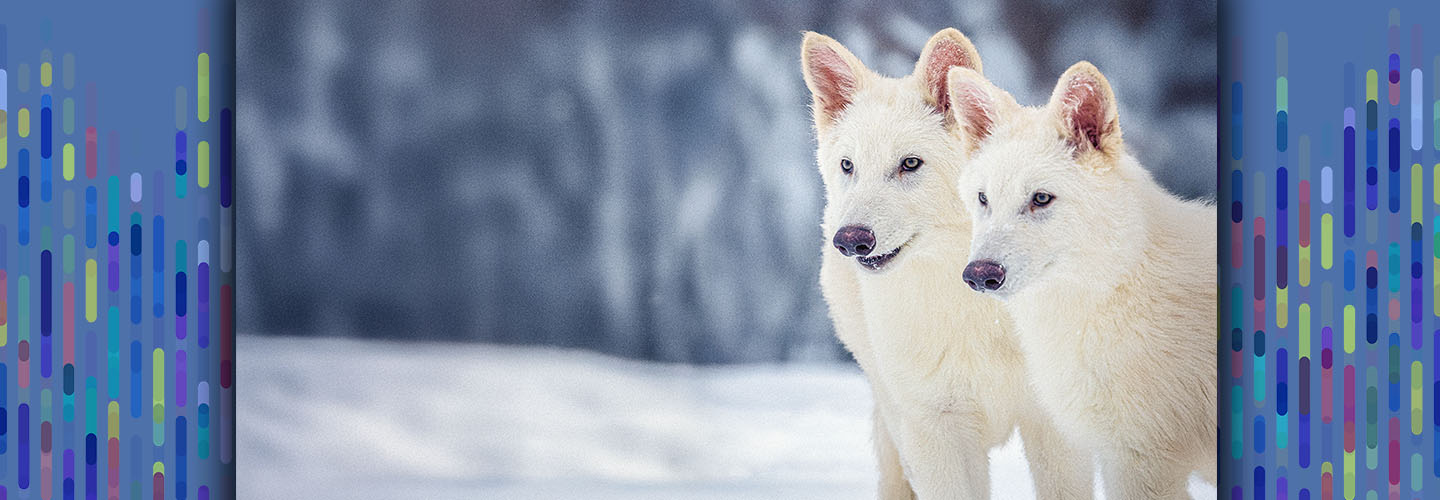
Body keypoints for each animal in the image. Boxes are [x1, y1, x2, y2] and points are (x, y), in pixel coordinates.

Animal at [802, 29, 1092, 499]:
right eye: (848, 166)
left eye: (910, 163)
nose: (850, 241)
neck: (975, 311)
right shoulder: (933, 432)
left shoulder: (1053, 427)